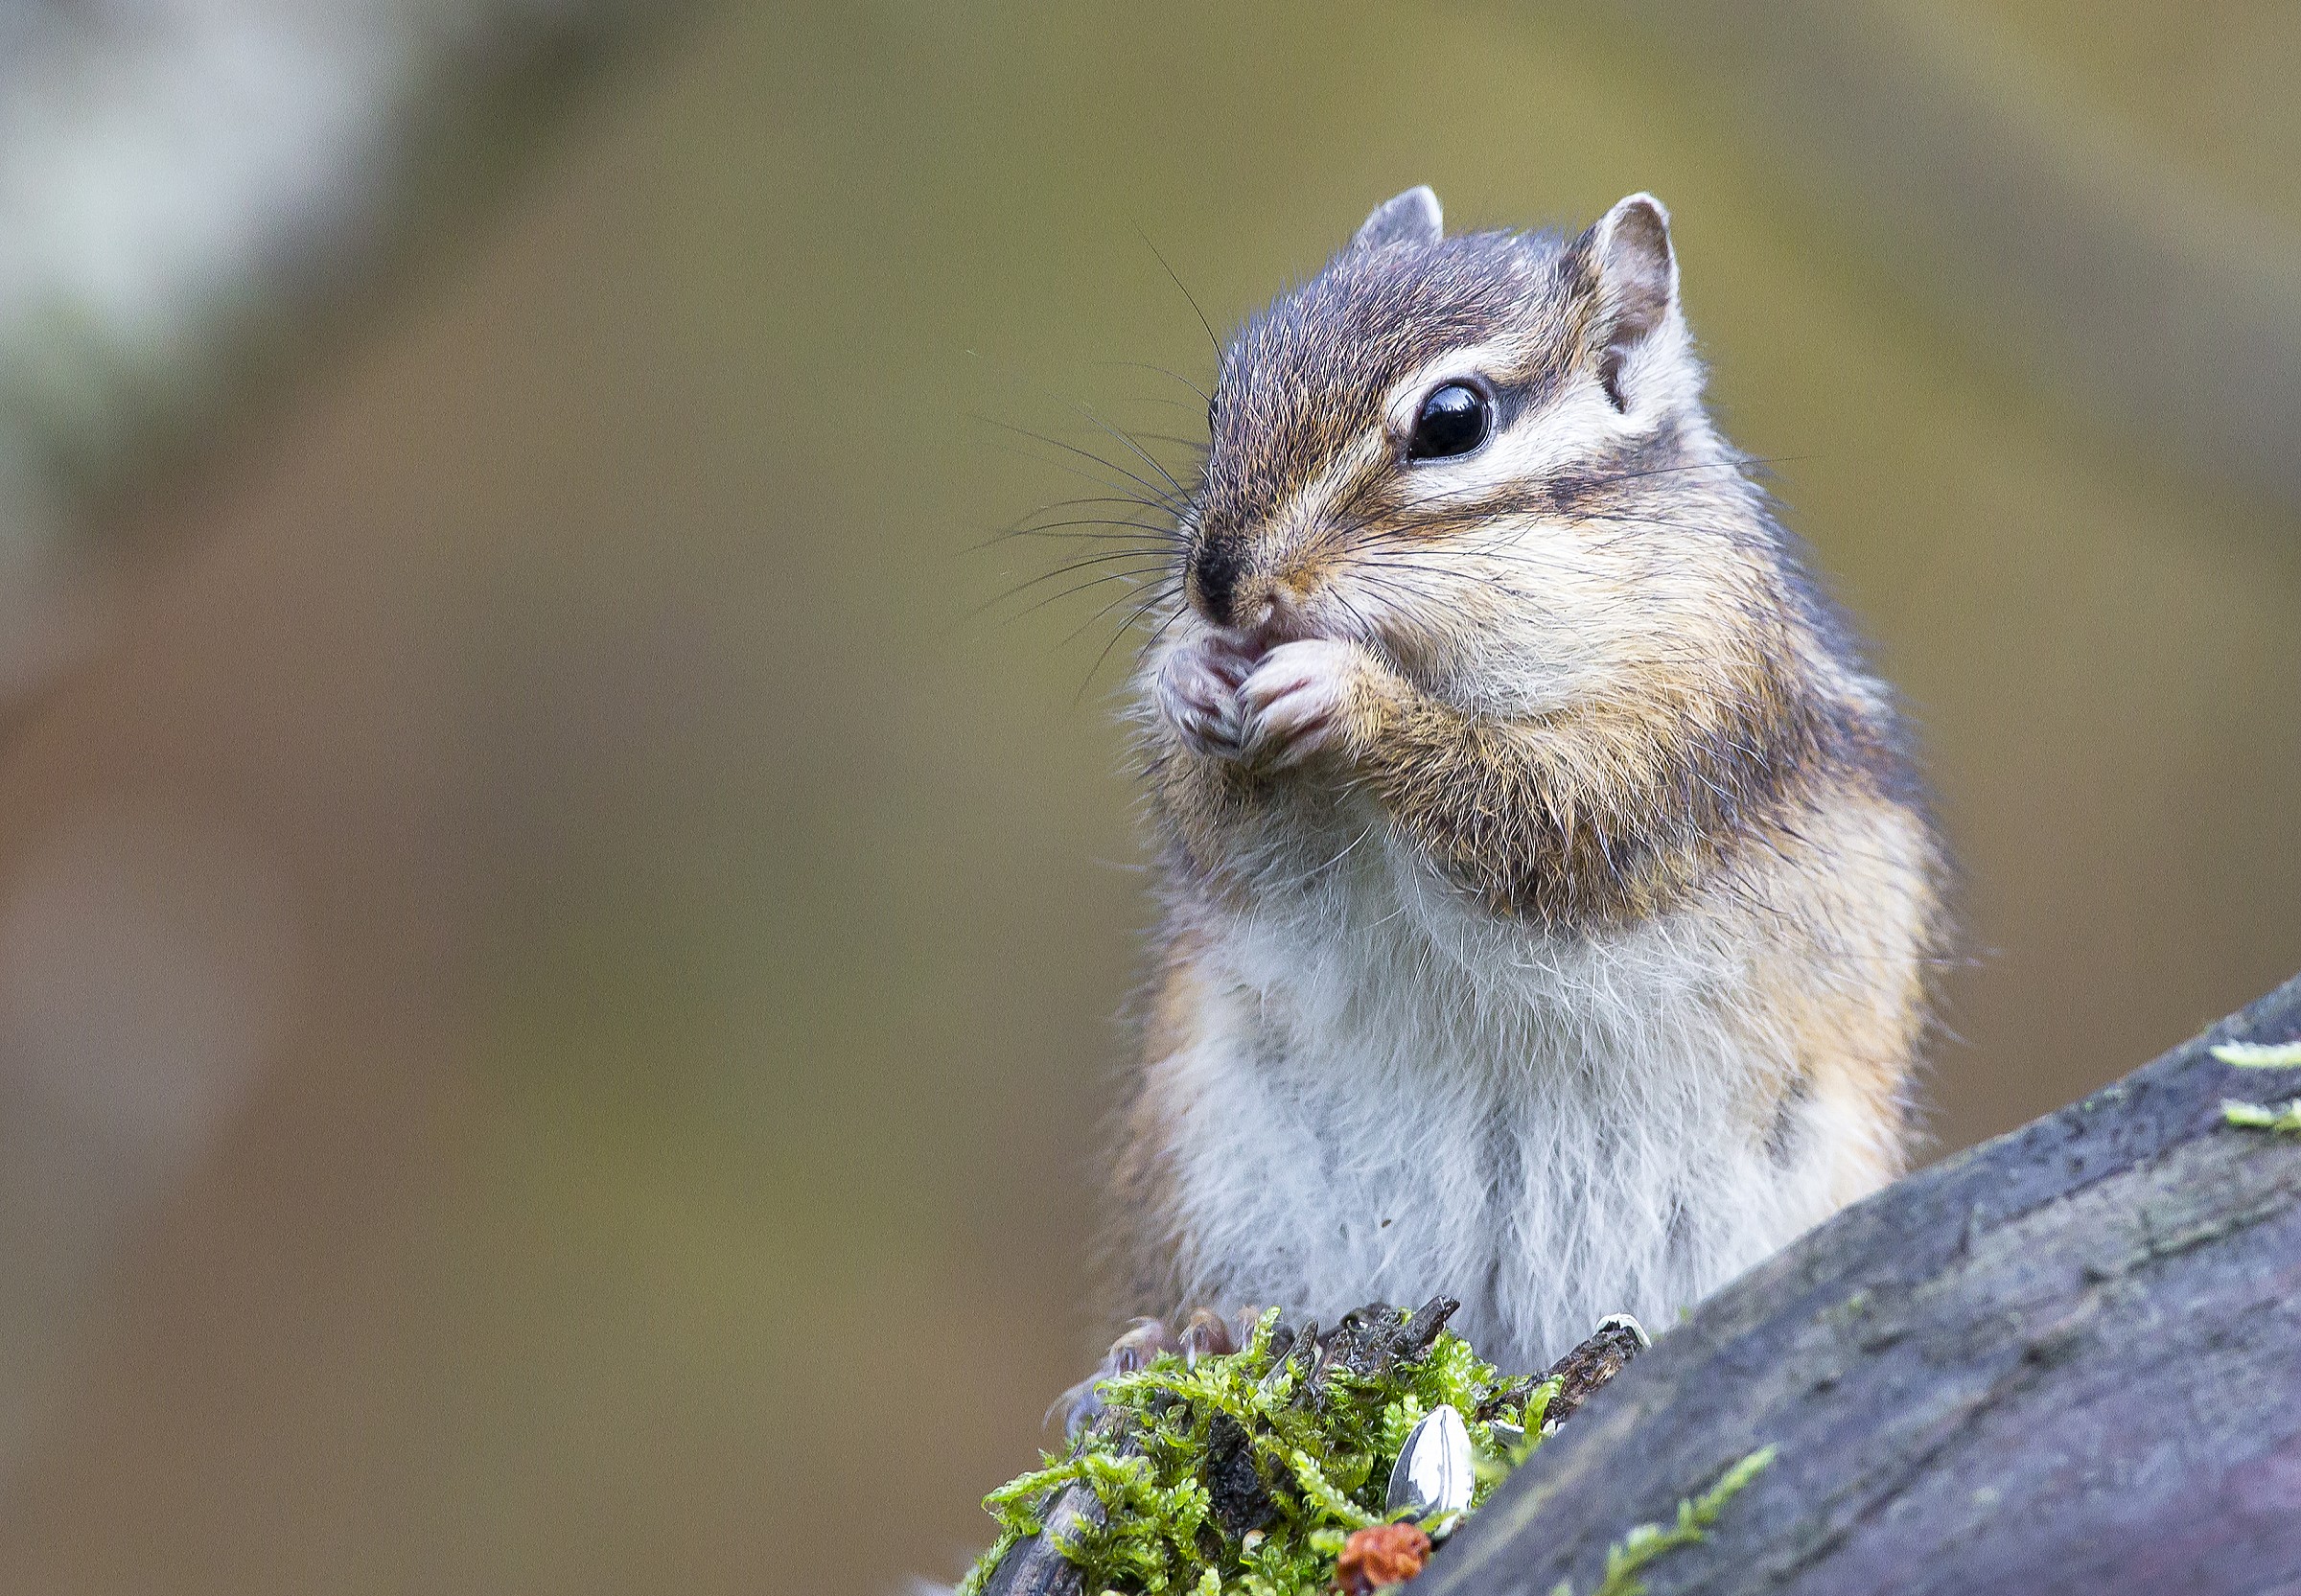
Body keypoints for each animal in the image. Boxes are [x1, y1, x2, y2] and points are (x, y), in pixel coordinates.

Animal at [1080, 186, 1947, 1392]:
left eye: (1453, 421)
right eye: (1221, 401)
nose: (1216, 585)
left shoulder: (1676, 726)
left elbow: (1540, 820)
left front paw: (1349, 693)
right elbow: (1234, 841)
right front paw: (1189, 679)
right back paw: (1186, 1335)